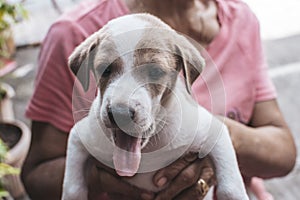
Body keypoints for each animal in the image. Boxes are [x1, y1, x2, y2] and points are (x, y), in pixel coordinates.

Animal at [62, 13, 248, 199]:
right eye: (104, 69)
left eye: (155, 72)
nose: (119, 113)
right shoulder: (79, 137)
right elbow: (72, 188)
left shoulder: (214, 131)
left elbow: (230, 187)